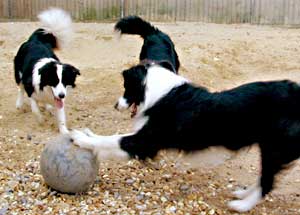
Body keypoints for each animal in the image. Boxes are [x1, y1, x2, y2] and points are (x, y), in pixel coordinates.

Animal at [72, 61, 300, 212]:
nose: (116, 105)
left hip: (274, 148)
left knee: (268, 182)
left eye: (127, 87)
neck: (161, 92)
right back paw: (243, 194)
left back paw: (242, 205)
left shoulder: (146, 142)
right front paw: (88, 133)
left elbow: (112, 139)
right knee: (264, 178)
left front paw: (82, 139)